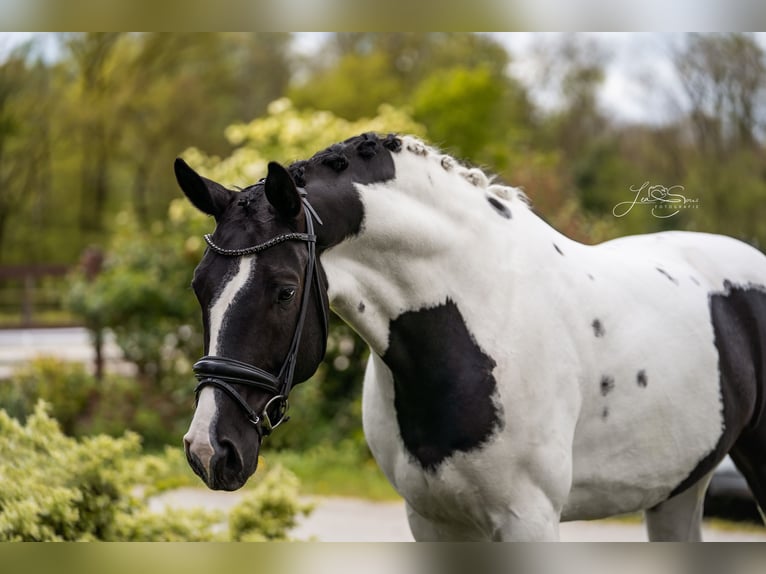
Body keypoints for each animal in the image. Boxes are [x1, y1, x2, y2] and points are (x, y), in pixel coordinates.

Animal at [176, 133, 766, 544]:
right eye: (199, 287)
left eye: (284, 290)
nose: (209, 449)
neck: (472, 327)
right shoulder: (433, 520)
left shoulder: (529, 520)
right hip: (677, 488)